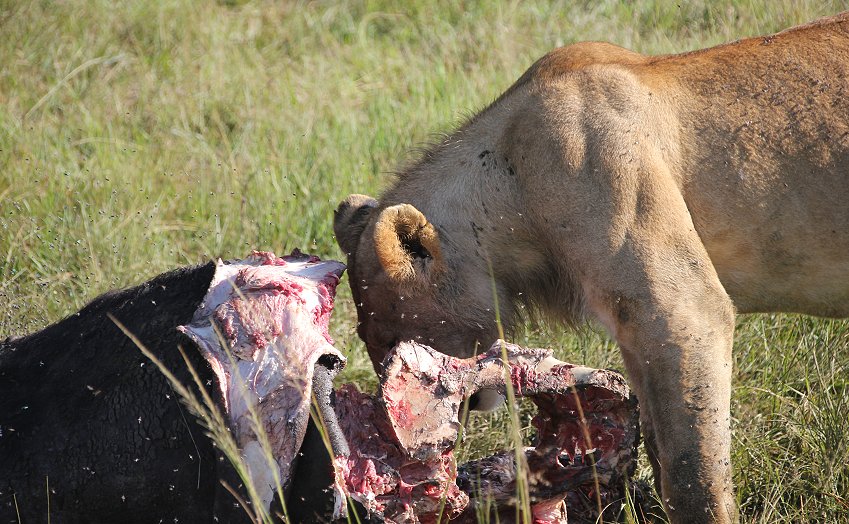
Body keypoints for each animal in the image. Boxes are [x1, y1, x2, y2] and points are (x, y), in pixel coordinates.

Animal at [332, 13, 848, 524]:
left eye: (391, 341)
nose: (393, 431)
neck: (513, 175)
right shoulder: (636, 330)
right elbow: (661, 446)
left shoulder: (685, 310)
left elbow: (693, 474)